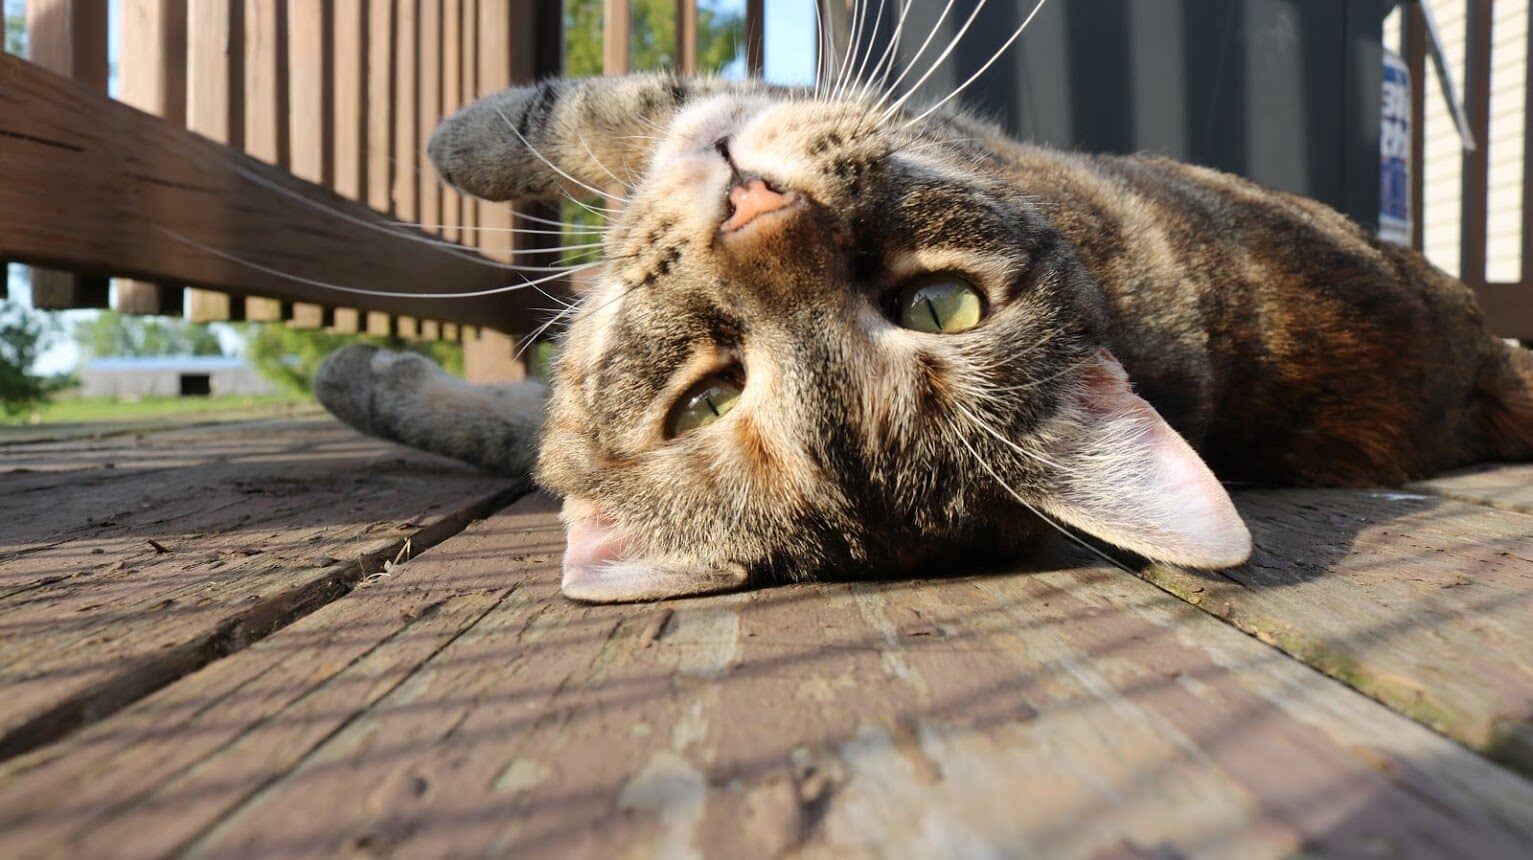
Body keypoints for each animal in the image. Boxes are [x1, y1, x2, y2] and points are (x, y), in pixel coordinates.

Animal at [314, 75, 1533, 603]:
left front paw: (462, 137)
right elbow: (512, 428)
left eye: (934, 306)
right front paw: (371, 379)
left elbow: (593, 111)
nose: (751, 202)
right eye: (709, 396)